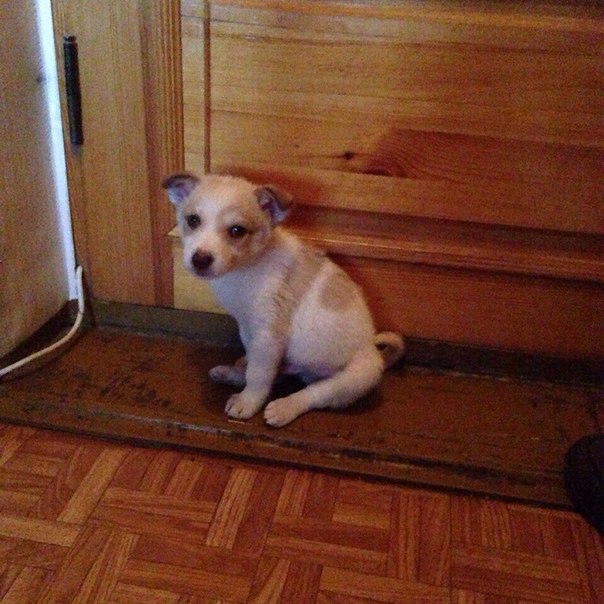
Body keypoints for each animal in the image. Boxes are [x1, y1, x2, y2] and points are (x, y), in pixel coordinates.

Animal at [163, 172, 404, 427]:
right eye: (193, 220)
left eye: (237, 231)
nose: (200, 260)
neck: (247, 265)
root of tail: (373, 348)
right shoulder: (250, 329)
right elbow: (255, 364)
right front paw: (244, 376)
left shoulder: (268, 335)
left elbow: (258, 374)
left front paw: (248, 402)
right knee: (279, 375)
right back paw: (232, 374)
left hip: (357, 377)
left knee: (315, 393)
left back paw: (285, 407)